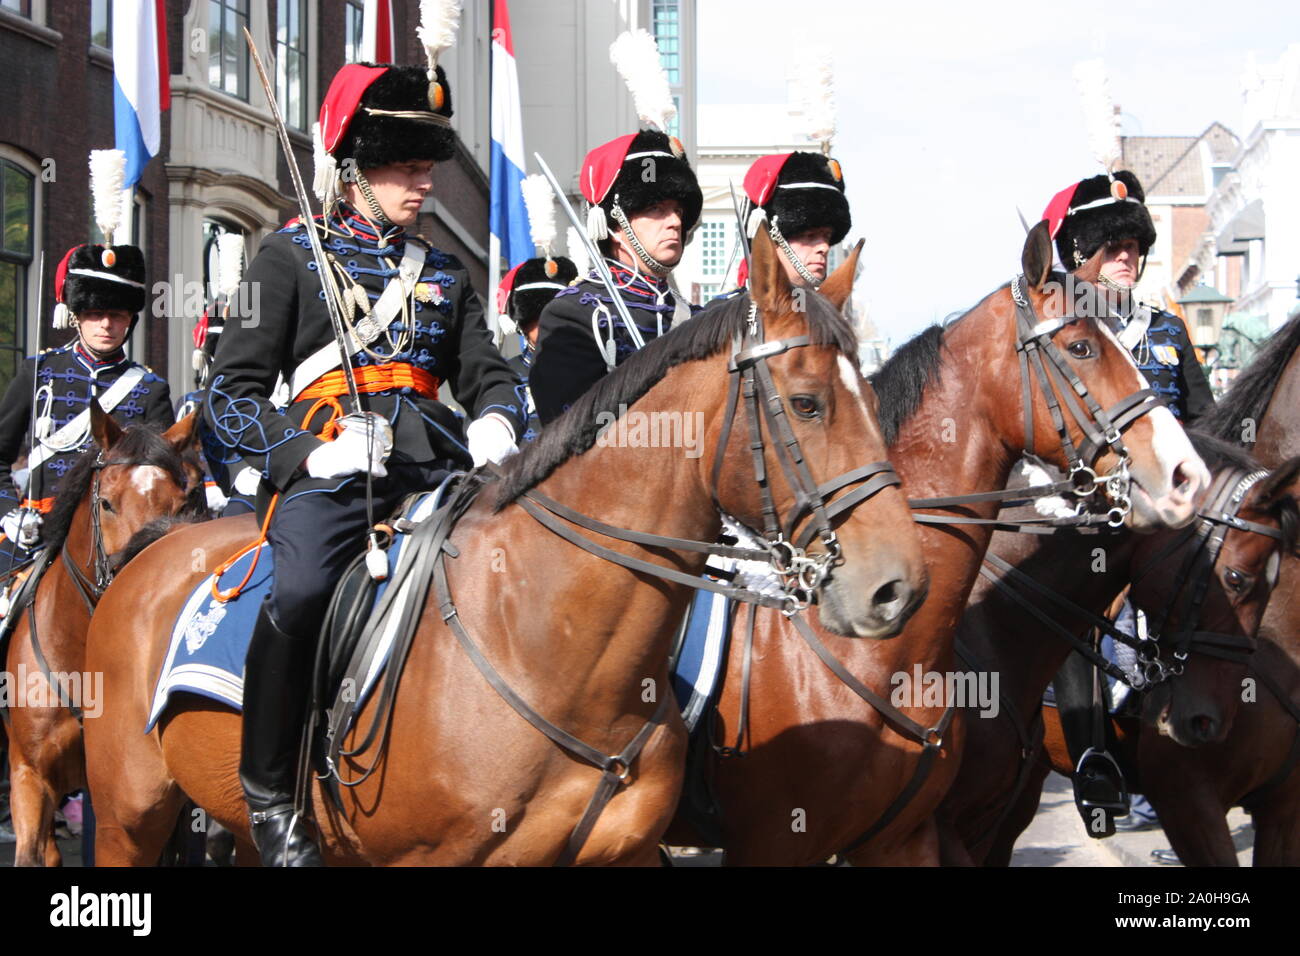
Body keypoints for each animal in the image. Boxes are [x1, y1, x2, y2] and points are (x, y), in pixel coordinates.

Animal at [81, 226, 930, 868]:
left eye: (869, 394)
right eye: (807, 403)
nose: (899, 586)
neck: (551, 643)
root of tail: (151, 552)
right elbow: (239, 384)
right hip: (127, 817)